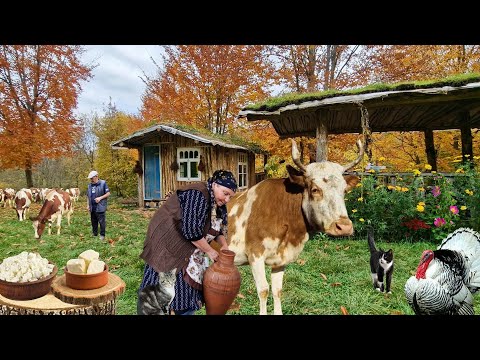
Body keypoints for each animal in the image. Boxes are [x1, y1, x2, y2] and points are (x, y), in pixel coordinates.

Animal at [225, 139, 364, 314]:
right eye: (315, 189)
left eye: (344, 190)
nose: (344, 227)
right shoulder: (255, 254)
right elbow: (263, 290)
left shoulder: (280, 260)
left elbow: (277, 290)